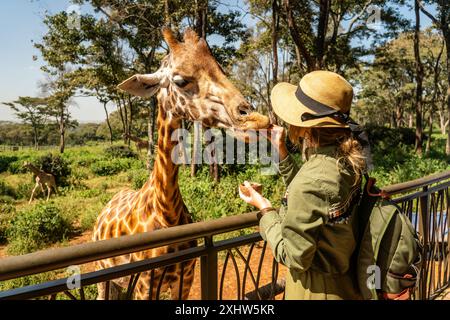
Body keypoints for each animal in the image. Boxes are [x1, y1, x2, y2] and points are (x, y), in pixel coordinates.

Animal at [91, 27, 268, 300]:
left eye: (221, 69)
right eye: (181, 81)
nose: (253, 119)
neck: (167, 214)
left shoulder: (185, 278)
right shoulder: (144, 285)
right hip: (103, 274)